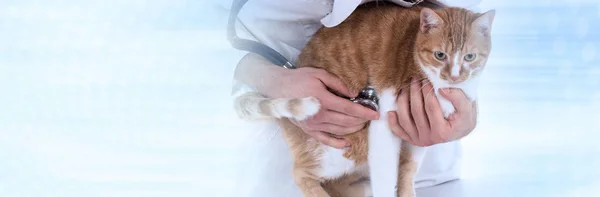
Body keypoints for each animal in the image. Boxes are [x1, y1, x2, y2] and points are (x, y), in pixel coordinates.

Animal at [232, 2, 494, 197]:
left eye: (470, 57)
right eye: (440, 55)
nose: (454, 76)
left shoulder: (422, 134)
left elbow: (408, 171)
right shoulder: (383, 125)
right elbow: (386, 177)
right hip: (347, 146)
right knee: (300, 173)